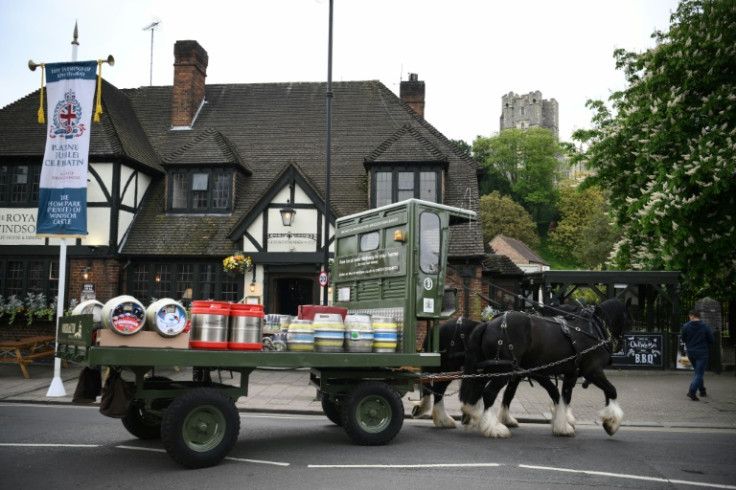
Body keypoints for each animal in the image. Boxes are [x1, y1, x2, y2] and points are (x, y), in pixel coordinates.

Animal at [458, 300, 628, 438]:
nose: (620, 344)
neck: (592, 328)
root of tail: (488, 324)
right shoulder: (592, 370)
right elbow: (611, 390)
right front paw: (612, 423)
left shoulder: (567, 374)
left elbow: (562, 397)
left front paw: (563, 425)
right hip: (502, 370)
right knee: (489, 393)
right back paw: (493, 428)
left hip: (489, 368)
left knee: (477, 389)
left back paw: (471, 414)